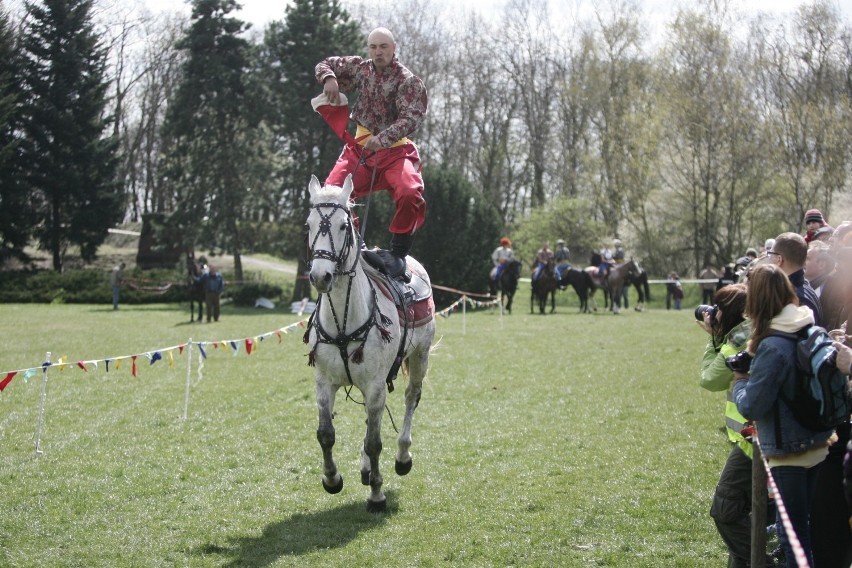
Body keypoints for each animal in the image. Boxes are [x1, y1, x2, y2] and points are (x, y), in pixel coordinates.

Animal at [304, 175, 436, 512]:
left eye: (343, 226)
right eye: (309, 224)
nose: (320, 276)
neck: (343, 320)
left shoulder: (376, 385)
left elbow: (375, 442)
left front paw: (377, 494)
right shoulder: (324, 382)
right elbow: (326, 434)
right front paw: (332, 479)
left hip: (420, 357)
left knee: (411, 399)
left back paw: (402, 456)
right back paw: (365, 469)